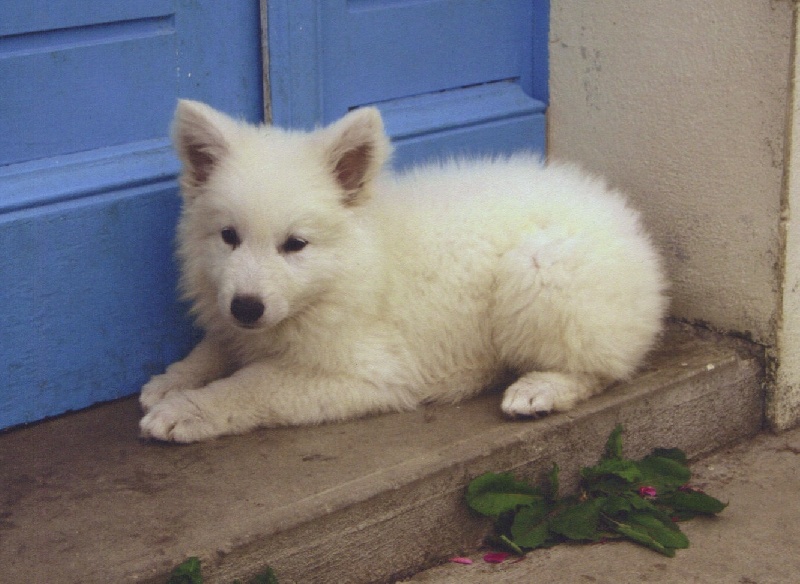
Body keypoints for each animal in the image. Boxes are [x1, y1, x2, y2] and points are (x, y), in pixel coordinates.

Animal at [139, 101, 668, 442]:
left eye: (295, 244)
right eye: (228, 236)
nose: (246, 307)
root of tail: (630, 224)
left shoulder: (366, 373)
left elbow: (256, 385)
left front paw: (188, 409)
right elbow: (216, 347)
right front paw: (173, 380)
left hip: (540, 267)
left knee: (604, 365)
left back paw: (540, 388)